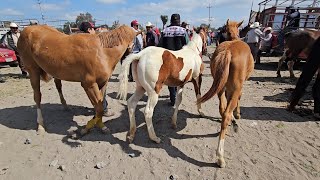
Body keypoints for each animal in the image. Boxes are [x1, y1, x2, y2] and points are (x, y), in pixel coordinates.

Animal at [196, 20, 254, 168]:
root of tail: (228, 51)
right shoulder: (237, 88)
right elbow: (238, 100)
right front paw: (237, 115)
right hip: (234, 87)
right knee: (226, 113)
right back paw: (220, 156)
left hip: (220, 88)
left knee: (222, 109)